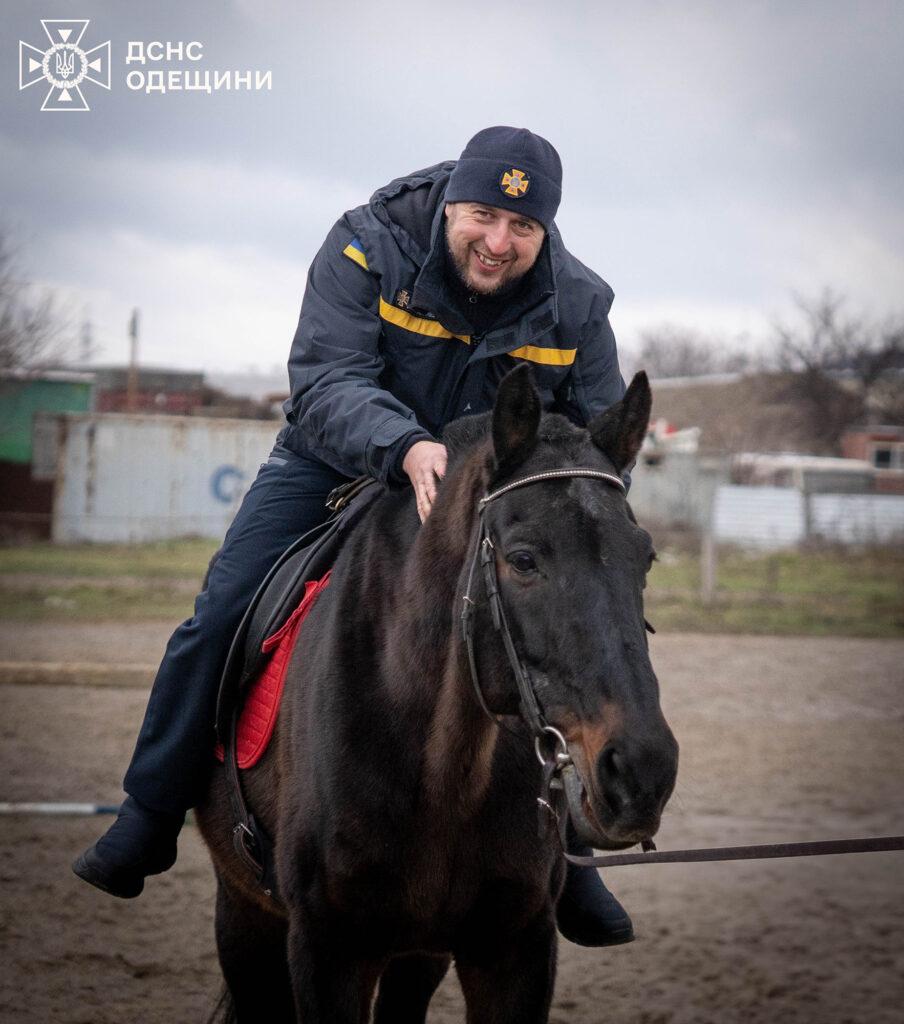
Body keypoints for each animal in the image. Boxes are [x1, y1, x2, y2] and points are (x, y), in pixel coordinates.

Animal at [197, 364, 679, 1019]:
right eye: (522, 559)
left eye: (645, 557)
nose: (641, 771)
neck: (440, 767)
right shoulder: (326, 950)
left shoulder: (512, 951)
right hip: (243, 917)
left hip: (419, 953)